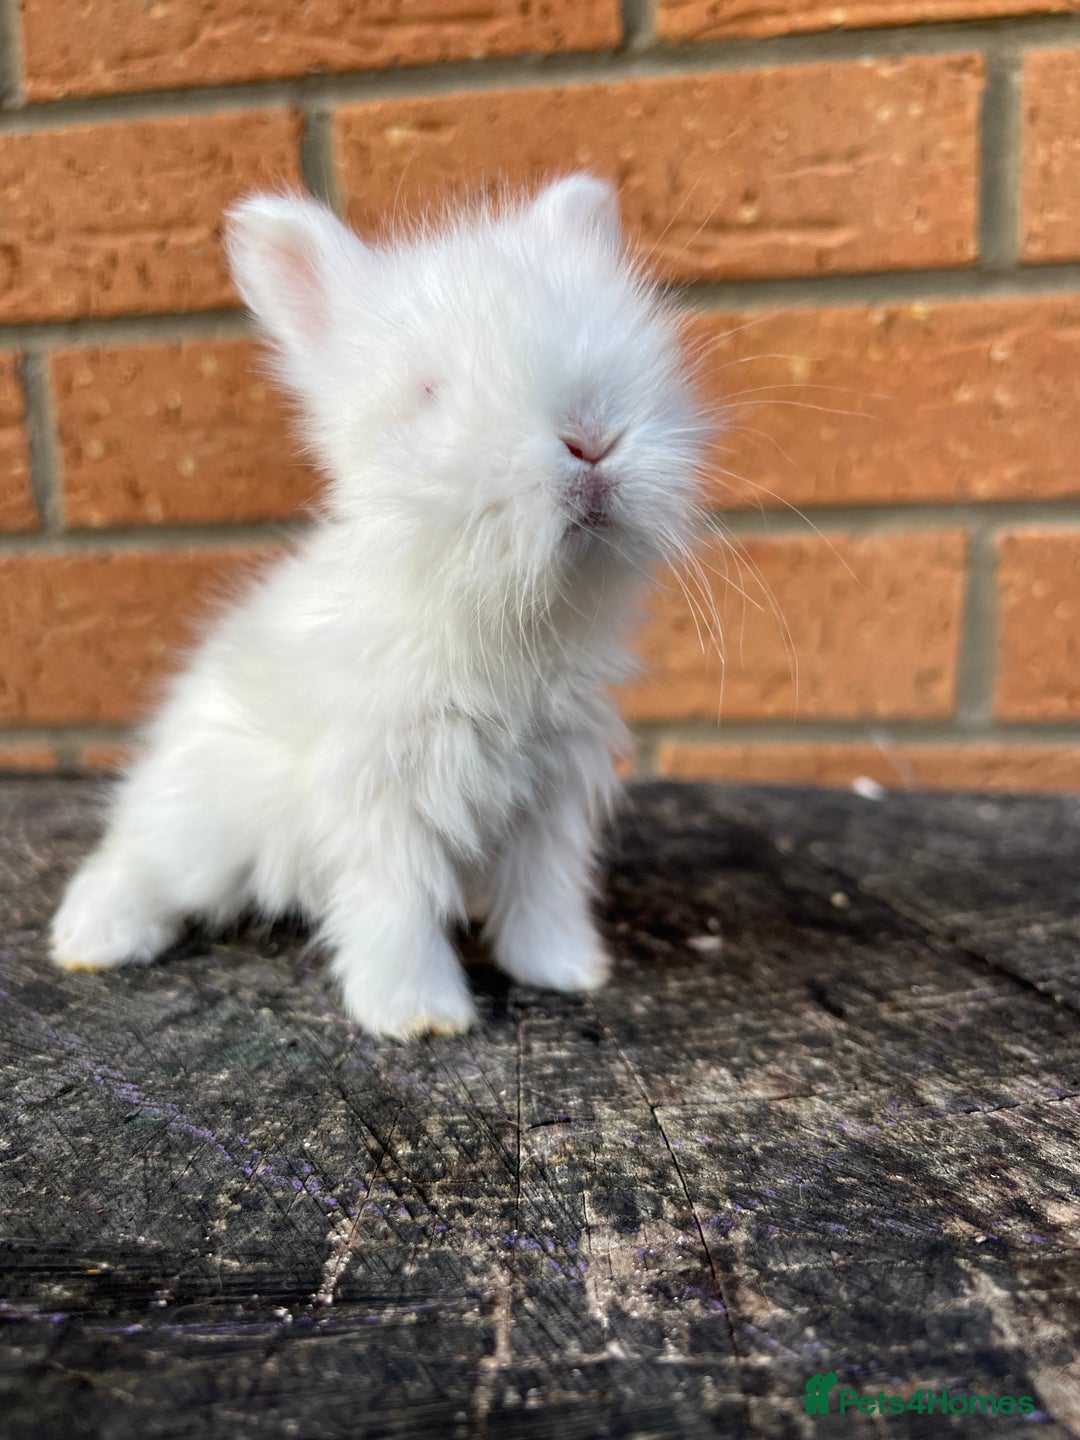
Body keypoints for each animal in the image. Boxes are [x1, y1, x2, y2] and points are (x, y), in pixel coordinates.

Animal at [50, 174, 711, 1039]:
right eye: (428, 393)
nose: (591, 437)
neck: (500, 614)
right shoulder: (380, 794)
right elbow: (395, 905)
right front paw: (418, 1016)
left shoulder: (551, 798)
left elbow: (544, 894)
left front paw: (568, 971)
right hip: (200, 830)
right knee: (133, 860)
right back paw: (91, 939)